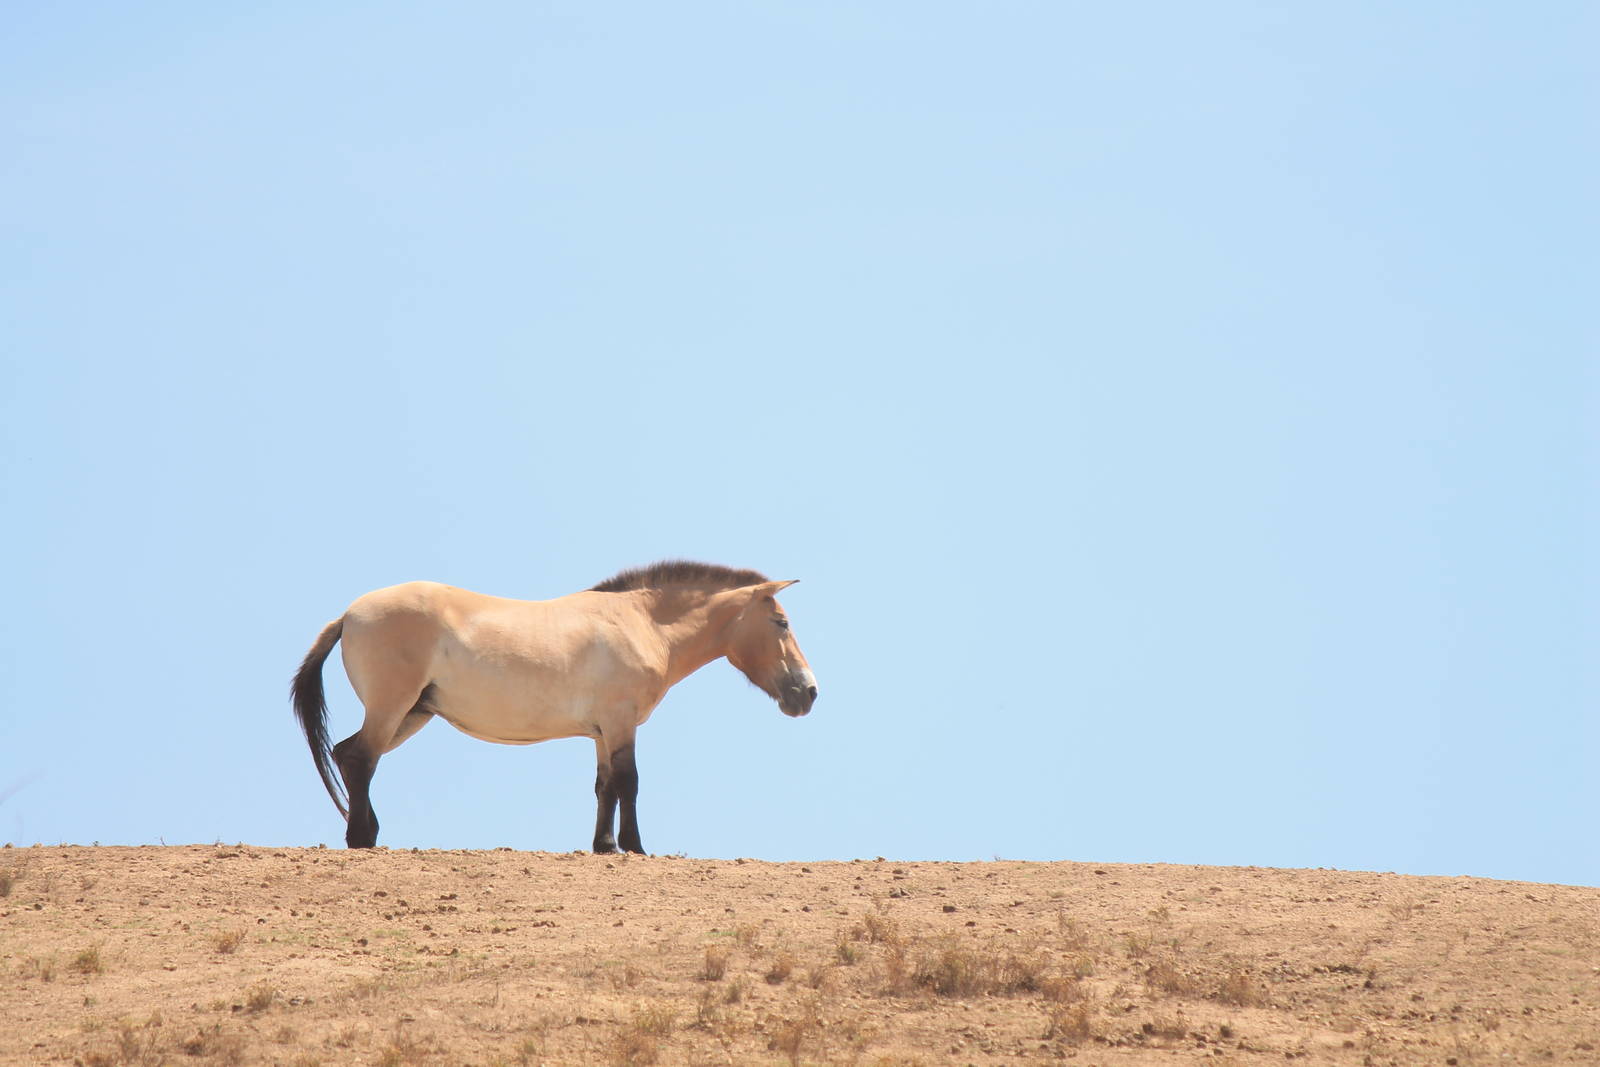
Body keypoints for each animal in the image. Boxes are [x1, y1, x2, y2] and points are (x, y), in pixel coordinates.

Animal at [290, 561, 818, 851]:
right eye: (781, 622)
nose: (808, 692)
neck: (641, 623)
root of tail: (349, 615)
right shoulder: (622, 723)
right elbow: (630, 782)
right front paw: (635, 847)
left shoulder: (604, 731)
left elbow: (605, 786)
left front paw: (604, 846)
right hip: (392, 708)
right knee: (361, 759)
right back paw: (363, 837)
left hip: (412, 713)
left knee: (347, 754)